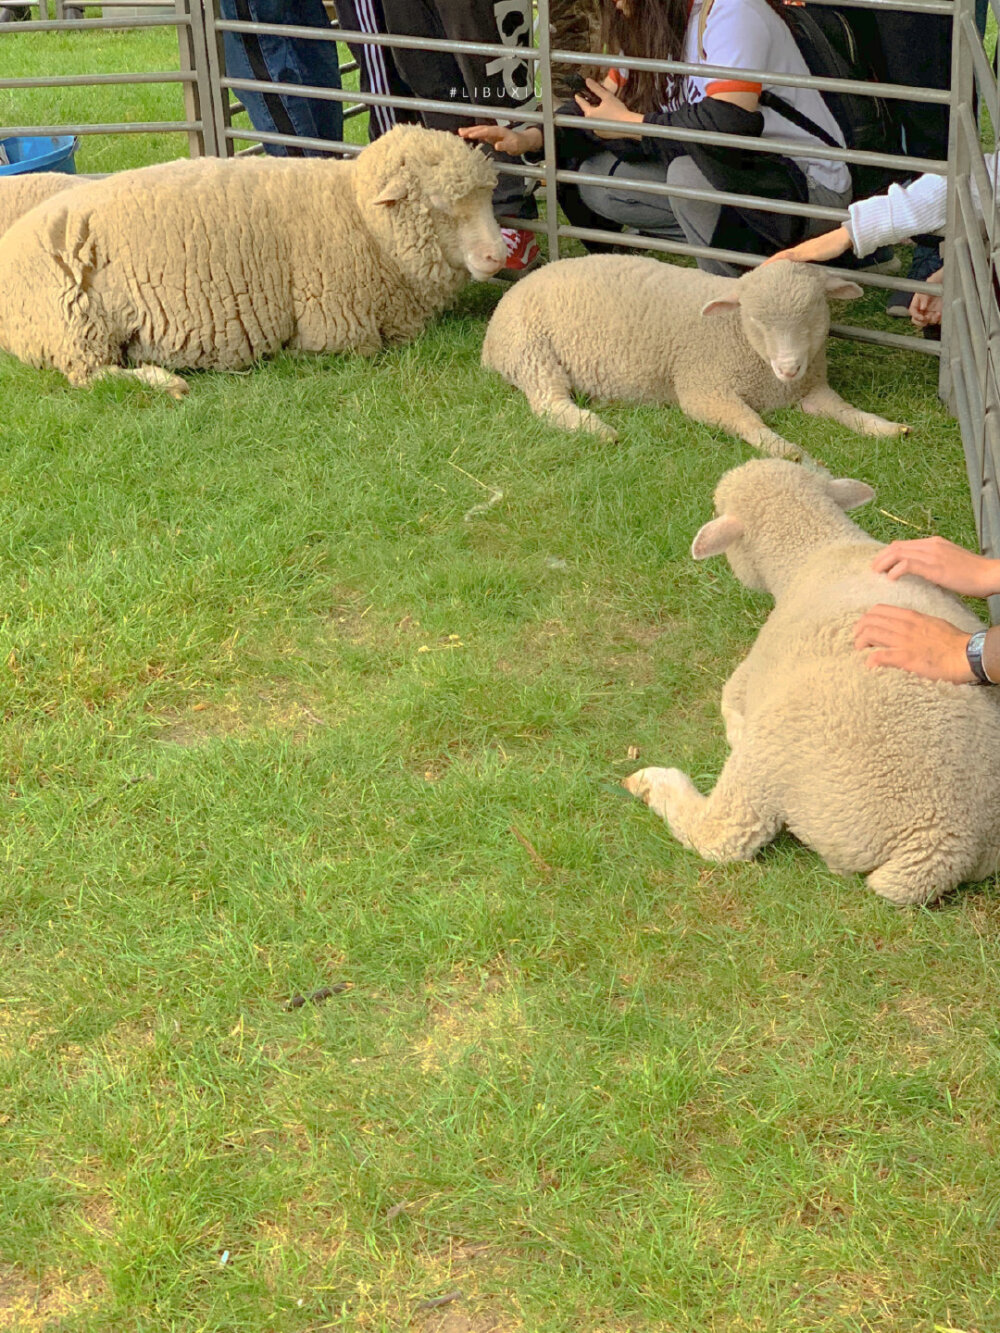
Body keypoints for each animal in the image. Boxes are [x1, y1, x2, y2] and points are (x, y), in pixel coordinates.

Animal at [0, 123, 504, 394]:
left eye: (486, 197)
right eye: (440, 205)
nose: (497, 255)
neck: (359, 216)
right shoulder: (337, 331)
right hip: (75, 325)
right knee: (91, 376)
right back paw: (165, 381)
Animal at [482, 255, 912, 463]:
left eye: (812, 315)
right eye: (756, 320)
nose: (789, 367)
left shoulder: (812, 390)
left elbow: (846, 412)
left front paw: (886, 428)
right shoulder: (703, 390)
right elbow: (748, 421)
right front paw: (784, 448)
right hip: (531, 351)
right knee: (548, 404)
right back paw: (598, 428)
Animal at [626, 458, 1000, 906]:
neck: (816, 546)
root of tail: (946, 845)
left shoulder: (753, 672)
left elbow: (728, 700)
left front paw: (733, 727)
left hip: (774, 760)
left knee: (722, 834)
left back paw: (650, 783)